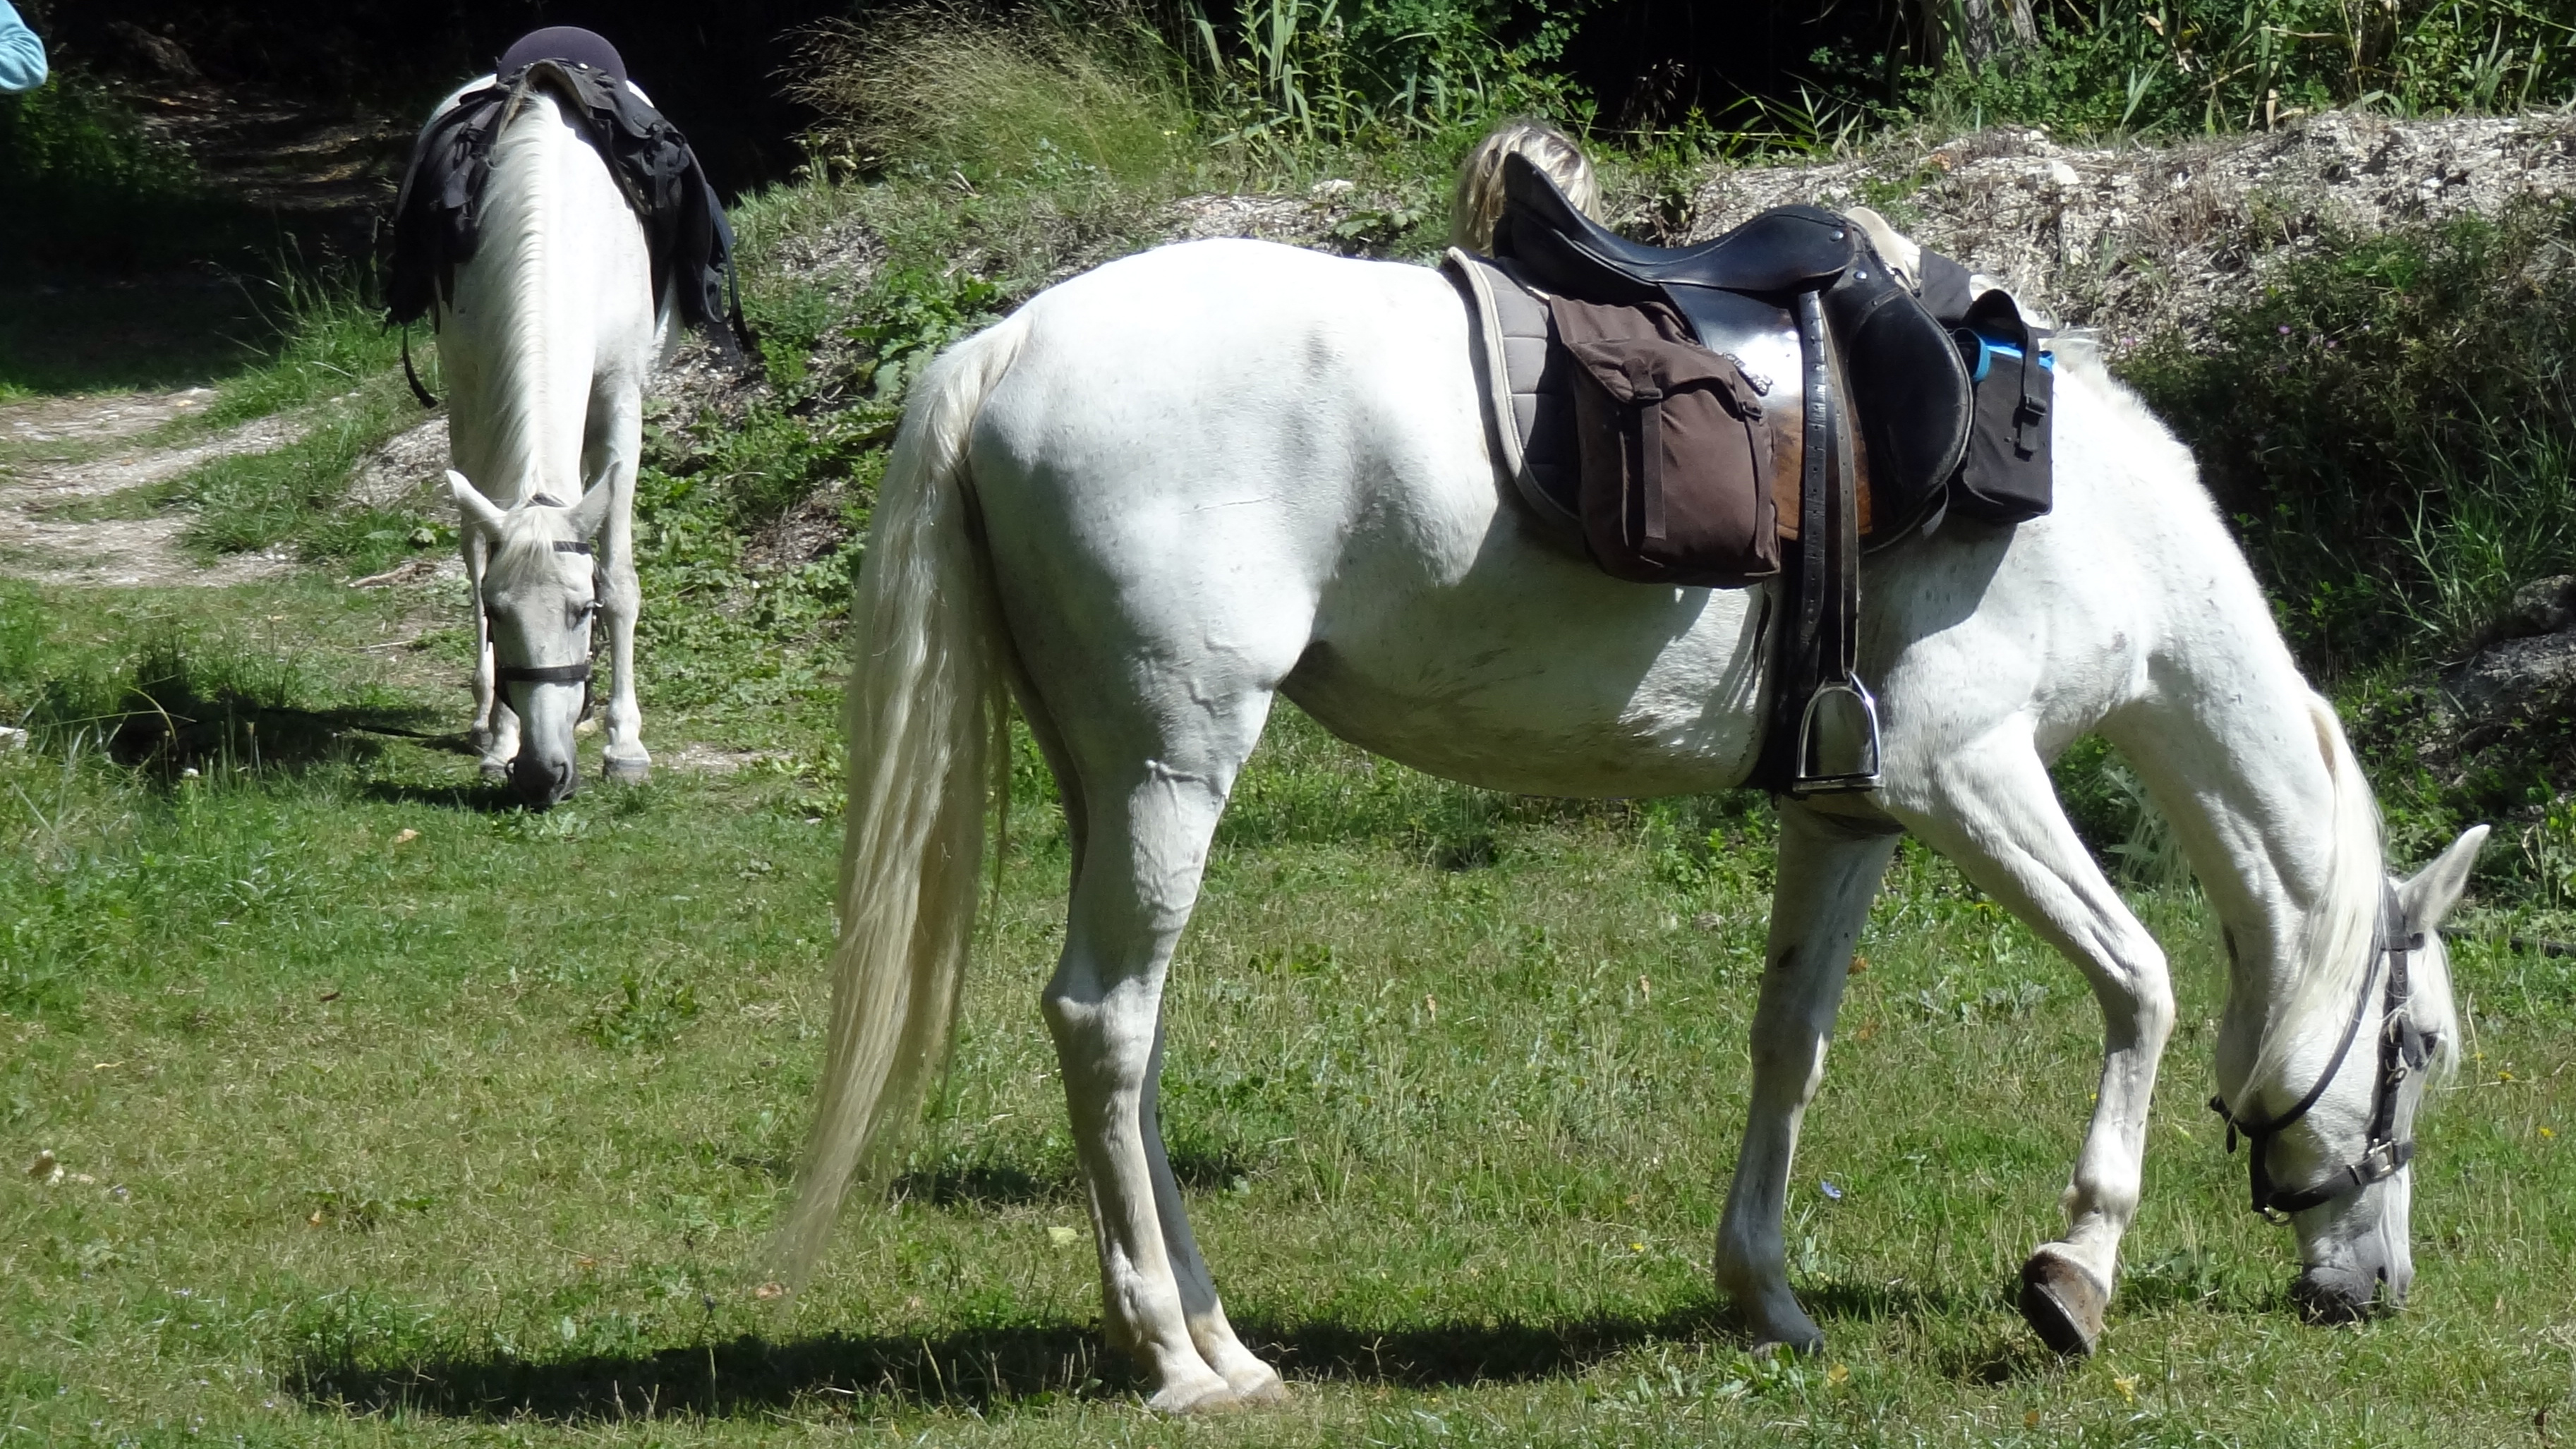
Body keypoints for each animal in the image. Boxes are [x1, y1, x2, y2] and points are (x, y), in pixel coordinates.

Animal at [420, 65, 665, 805]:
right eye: (501, 615)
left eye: (582, 610)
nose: (541, 774)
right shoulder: (474, 392)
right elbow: (478, 559)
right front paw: (500, 739)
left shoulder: (619, 398)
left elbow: (621, 575)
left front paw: (625, 744)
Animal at [772, 231, 2485, 1410]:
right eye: (2416, 1047)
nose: (2377, 1287)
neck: (2081, 514)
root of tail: (1007, 345)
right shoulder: (1966, 774)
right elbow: (2140, 978)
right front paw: (2074, 1272)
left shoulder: (1852, 808)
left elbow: (1789, 1041)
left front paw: (1767, 1297)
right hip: (1170, 761)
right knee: (1104, 1018)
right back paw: (1181, 1359)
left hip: (1110, 772)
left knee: (1131, 1040)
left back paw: (1211, 1331)